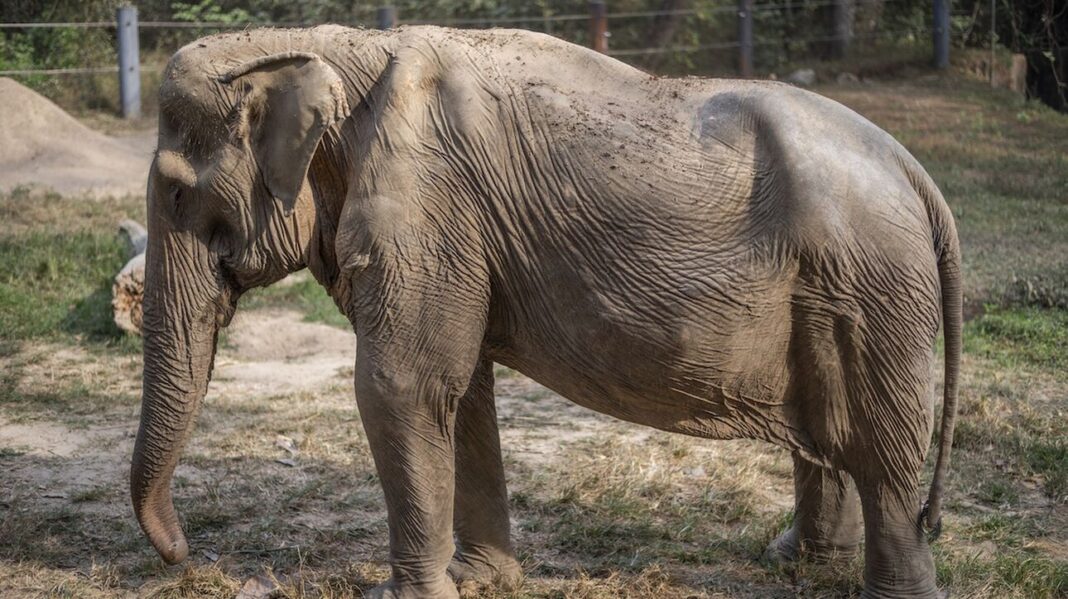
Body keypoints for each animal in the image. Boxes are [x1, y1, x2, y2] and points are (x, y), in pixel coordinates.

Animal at [129, 24, 965, 597]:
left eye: (175, 192)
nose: (184, 553)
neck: (328, 46)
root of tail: (919, 175)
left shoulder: (428, 208)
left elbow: (402, 386)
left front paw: (412, 593)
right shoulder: (456, 233)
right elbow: (459, 391)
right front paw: (482, 581)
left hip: (873, 290)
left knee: (882, 448)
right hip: (837, 290)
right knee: (833, 432)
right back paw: (795, 561)